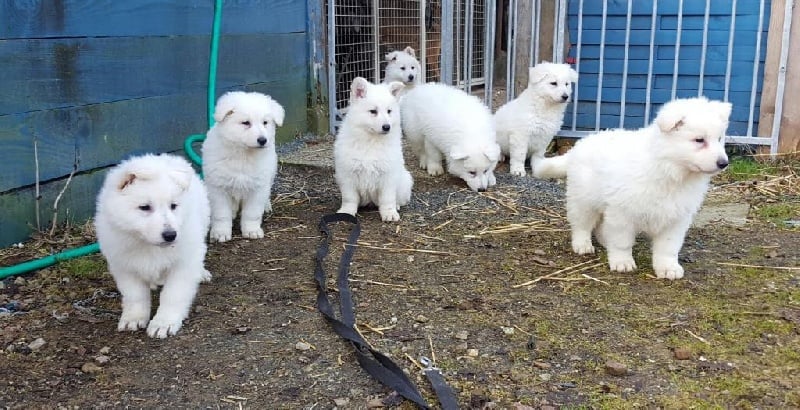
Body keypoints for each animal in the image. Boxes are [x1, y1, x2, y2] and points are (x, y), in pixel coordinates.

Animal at [93, 152, 211, 338]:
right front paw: (134, 318)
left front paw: (164, 322)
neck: (148, 245)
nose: (170, 235)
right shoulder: (123, 265)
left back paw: (202, 273)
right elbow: (135, 295)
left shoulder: (183, 264)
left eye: (173, 206)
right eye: (144, 207)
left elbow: (173, 295)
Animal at [202, 91, 286, 242]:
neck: (243, 155)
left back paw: (266, 206)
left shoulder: (258, 187)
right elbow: (221, 214)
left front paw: (252, 231)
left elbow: (252, 213)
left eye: (265, 123)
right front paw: (220, 233)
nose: (263, 140)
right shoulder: (218, 188)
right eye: (246, 123)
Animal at [334, 78, 416, 223]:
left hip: (405, 181)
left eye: (389, 111)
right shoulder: (347, 175)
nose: (387, 127)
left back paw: (396, 205)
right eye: (373, 111)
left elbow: (387, 198)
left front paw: (389, 213)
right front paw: (346, 212)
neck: (371, 141)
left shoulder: (388, 175)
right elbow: (350, 198)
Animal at [536, 97, 732, 280]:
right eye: (699, 140)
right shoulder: (622, 213)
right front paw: (622, 262)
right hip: (584, 199)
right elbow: (622, 242)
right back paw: (582, 244)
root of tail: (580, 144)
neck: (668, 169)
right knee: (581, 224)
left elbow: (668, 247)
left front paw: (668, 267)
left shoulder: (676, 218)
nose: (724, 163)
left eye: (719, 139)